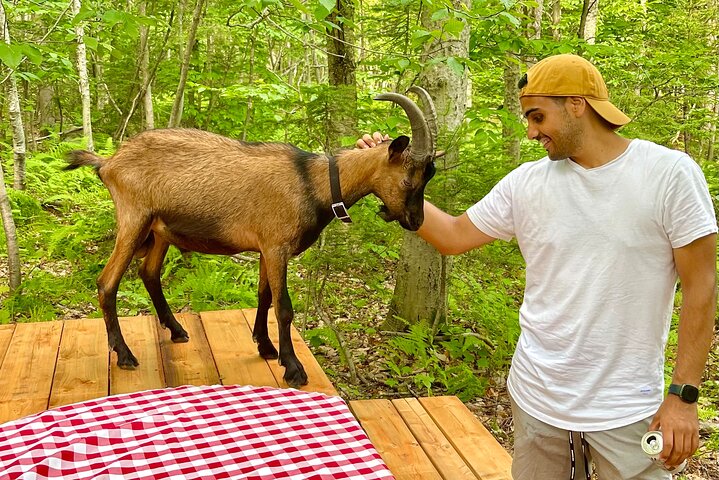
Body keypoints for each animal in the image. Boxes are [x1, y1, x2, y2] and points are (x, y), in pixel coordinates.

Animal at [65, 88, 439, 388]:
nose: (416, 220)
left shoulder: (265, 248)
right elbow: (283, 306)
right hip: (134, 220)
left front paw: (266, 347)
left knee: (149, 273)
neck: (313, 182)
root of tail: (108, 162)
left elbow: (263, 295)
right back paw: (124, 354)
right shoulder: (276, 246)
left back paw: (176, 330)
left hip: (160, 231)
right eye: (409, 179)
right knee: (107, 282)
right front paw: (293, 367)